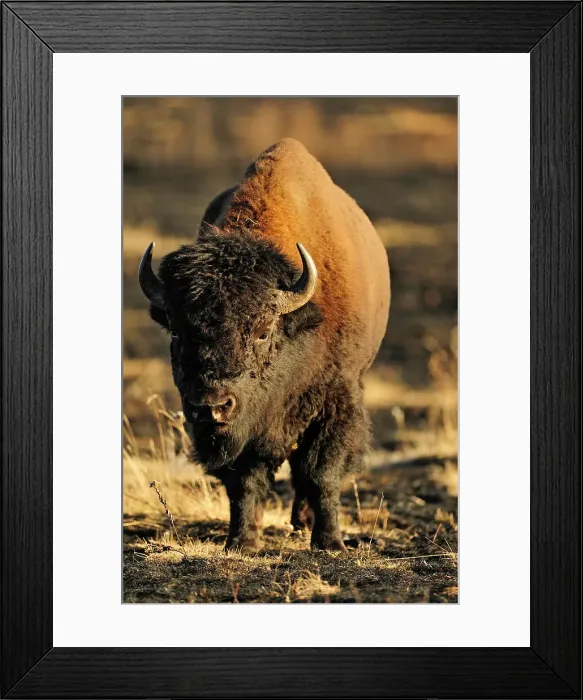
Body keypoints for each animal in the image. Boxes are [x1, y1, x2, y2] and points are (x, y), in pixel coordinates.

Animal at [139, 138, 390, 552]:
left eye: (261, 331)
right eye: (175, 331)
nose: (211, 406)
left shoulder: (339, 398)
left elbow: (322, 473)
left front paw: (330, 542)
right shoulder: (242, 432)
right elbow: (245, 480)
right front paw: (242, 542)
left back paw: (305, 524)